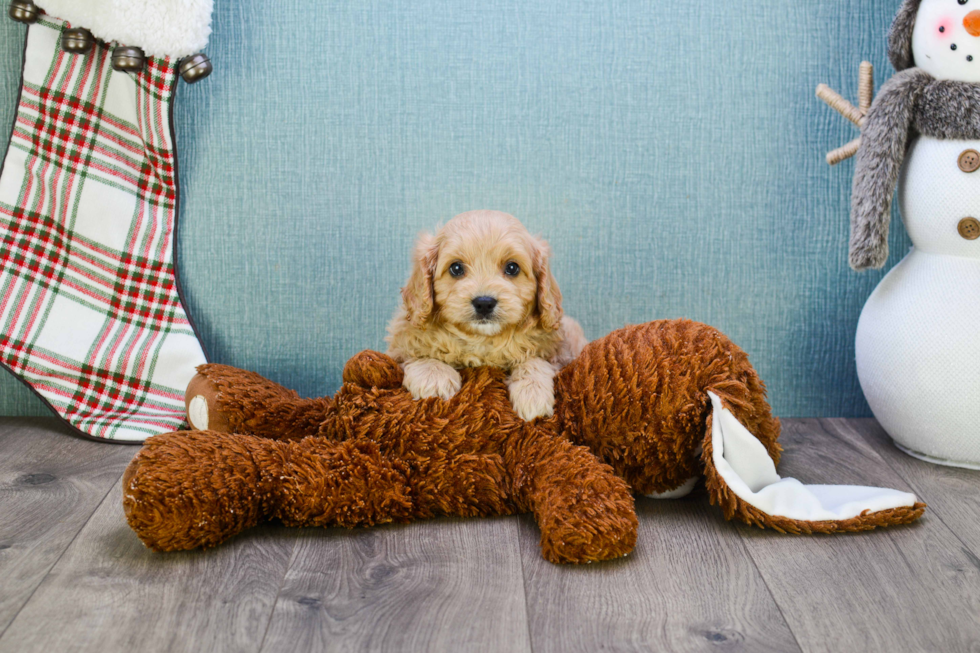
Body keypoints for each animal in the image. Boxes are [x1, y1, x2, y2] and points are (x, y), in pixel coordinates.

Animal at [384, 211, 584, 420]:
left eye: (512, 268)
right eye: (456, 268)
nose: (484, 303)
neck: (481, 340)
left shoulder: (557, 352)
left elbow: (534, 360)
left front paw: (532, 393)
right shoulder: (399, 346)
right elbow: (416, 352)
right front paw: (433, 377)